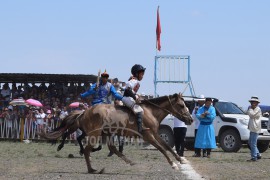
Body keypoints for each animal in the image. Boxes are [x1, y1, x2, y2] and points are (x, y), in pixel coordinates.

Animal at [39, 93, 192, 173]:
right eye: (181, 105)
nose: (190, 119)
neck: (149, 112)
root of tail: (84, 112)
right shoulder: (148, 135)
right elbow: (162, 149)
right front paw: (173, 164)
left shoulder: (155, 134)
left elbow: (167, 146)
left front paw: (180, 160)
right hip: (95, 134)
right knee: (87, 149)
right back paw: (92, 169)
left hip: (106, 133)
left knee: (111, 148)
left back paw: (129, 162)